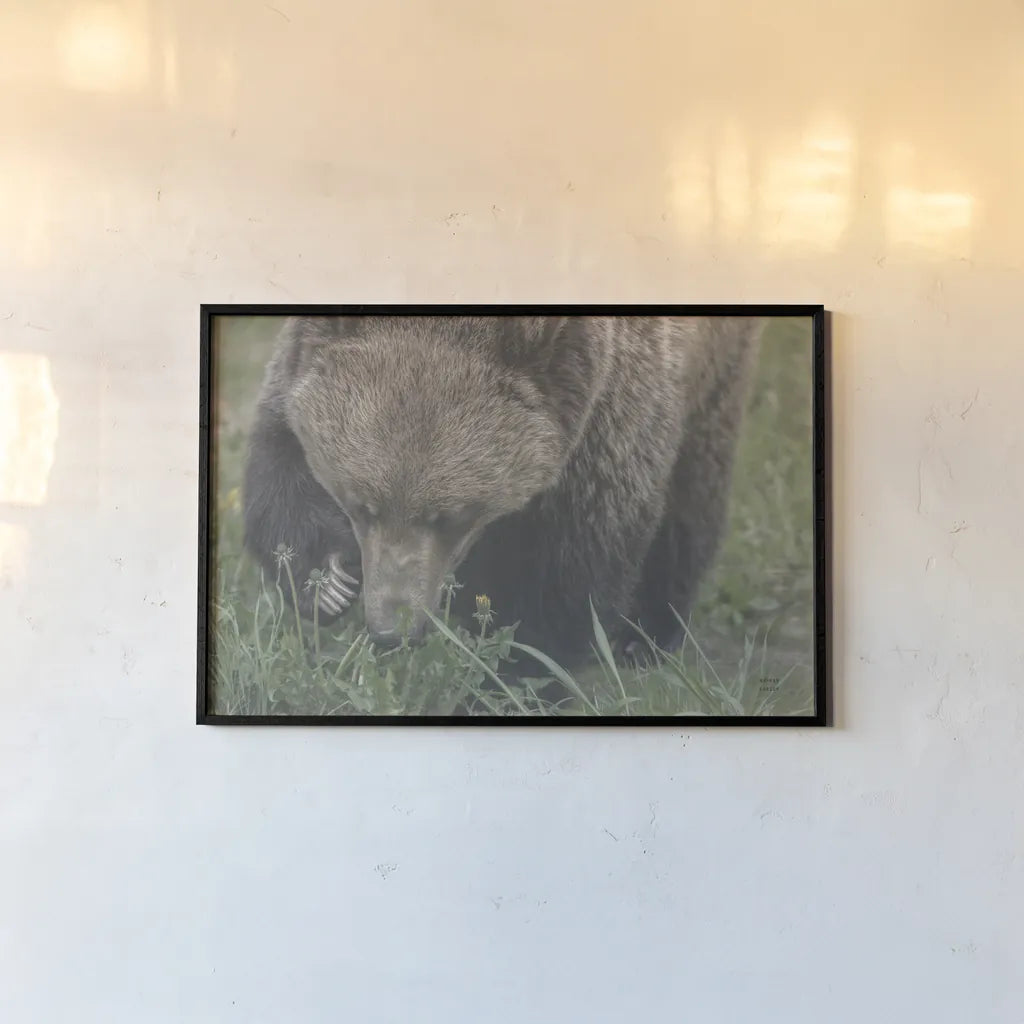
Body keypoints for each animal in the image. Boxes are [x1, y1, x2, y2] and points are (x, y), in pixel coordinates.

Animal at [241, 313, 762, 669]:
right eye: (361, 505)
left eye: (451, 515)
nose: (394, 628)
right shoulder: (300, 367)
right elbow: (280, 458)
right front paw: (326, 583)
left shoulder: (609, 418)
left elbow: (568, 570)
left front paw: (521, 670)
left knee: (691, 503)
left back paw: (647, 638)